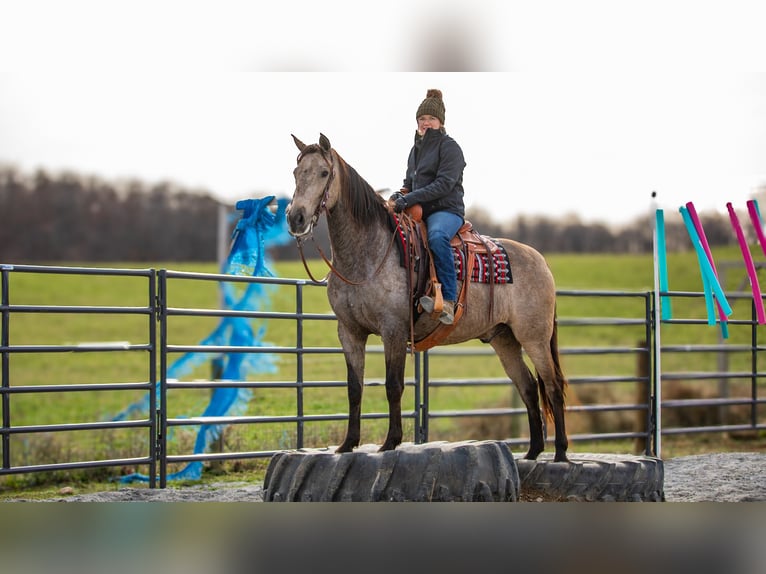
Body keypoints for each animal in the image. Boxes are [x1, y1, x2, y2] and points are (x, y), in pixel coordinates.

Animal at [288, 134, 568, 464]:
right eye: (296, 172)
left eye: (323, 173)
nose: (296, 218)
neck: (367, 254)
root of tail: (541, 261)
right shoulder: (349, 332)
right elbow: (354, 388)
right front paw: (347, 444)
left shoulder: (393, 330)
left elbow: (393, 385)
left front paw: (390, 442)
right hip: (504, 339)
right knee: (528, 387)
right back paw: (533, 452)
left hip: (534, 337)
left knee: (552, 386)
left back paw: (560, 453)